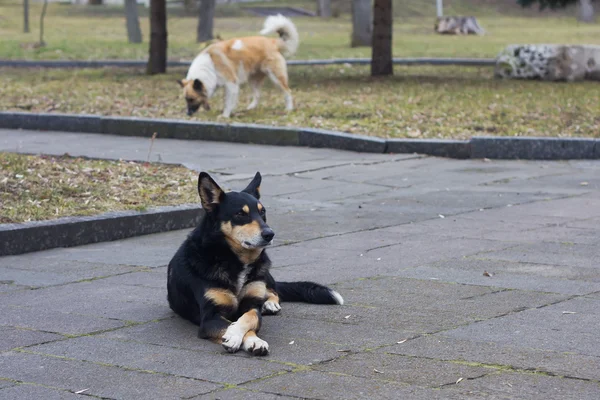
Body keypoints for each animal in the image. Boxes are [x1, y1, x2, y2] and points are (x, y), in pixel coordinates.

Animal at [166, 172, 344, 356]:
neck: (233, 259)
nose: (270, 234)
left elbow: (250, 317)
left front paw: (247, 338)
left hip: (264, 271)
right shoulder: (210, 317)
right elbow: (230, 324)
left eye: (262, 211)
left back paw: (270, 303)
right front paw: (237, 337)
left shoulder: (252, 304)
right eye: (240, 214)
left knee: (273, 290)